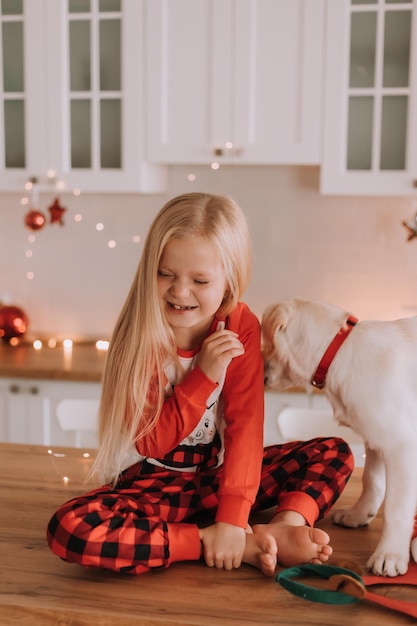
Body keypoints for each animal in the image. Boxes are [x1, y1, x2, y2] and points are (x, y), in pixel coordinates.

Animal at [262, 298, 416, 576]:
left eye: (266, 340)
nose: (259, 366)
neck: (339, 353)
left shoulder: (401, 445)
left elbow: (396, 508)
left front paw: (390, 554)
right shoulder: (376, 437)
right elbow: (371, 480)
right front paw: (359, 514)